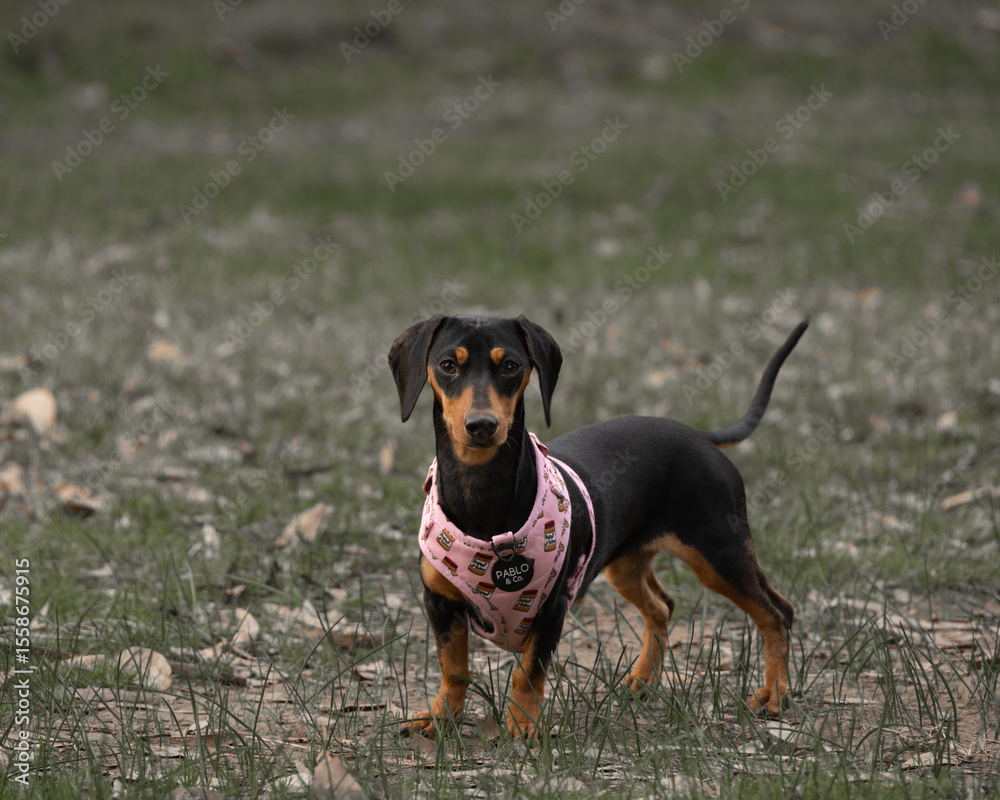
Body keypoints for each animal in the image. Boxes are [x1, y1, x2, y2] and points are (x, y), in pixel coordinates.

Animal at [389, 314, 807, 739]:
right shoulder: (439, 602)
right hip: (624, 565)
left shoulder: (550, 607)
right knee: (662, 607)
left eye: (510, 366)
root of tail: (701, 436)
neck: (481, 494)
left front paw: (522, 727)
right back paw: (642, 680)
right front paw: (440, 718)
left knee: (778, 613)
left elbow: (528, 674)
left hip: (719, 553)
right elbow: (454, 670)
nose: (481, 425)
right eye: (447, 365)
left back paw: (775, 695)